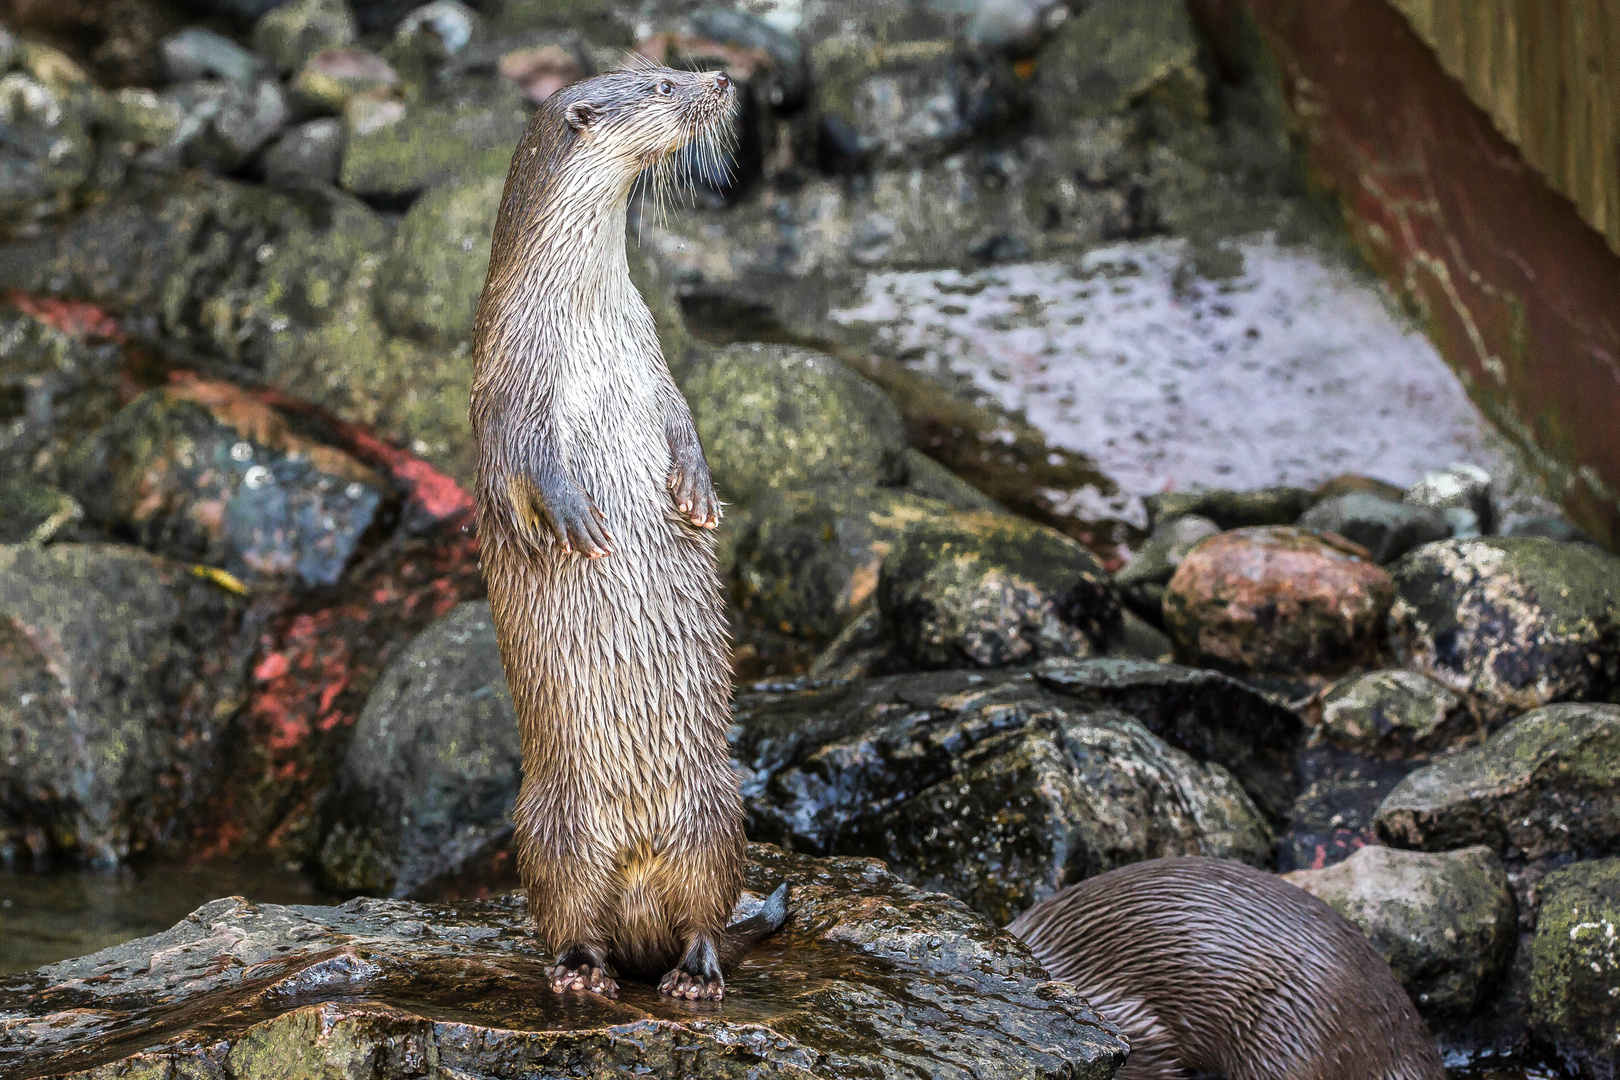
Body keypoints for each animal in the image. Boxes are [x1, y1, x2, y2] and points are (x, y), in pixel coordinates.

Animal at [469, 63, 784, 1003]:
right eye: (662, 84)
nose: (720, 77)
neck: (585, 319)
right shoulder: (510, 387)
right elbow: (525, 463)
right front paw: (576, 516)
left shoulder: (653, 364)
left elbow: (683, 420)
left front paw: (697, 493)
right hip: (549, 829)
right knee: (570, 914)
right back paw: (581, 971)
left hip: (717, 809)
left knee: (706, 910)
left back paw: (696, 972)